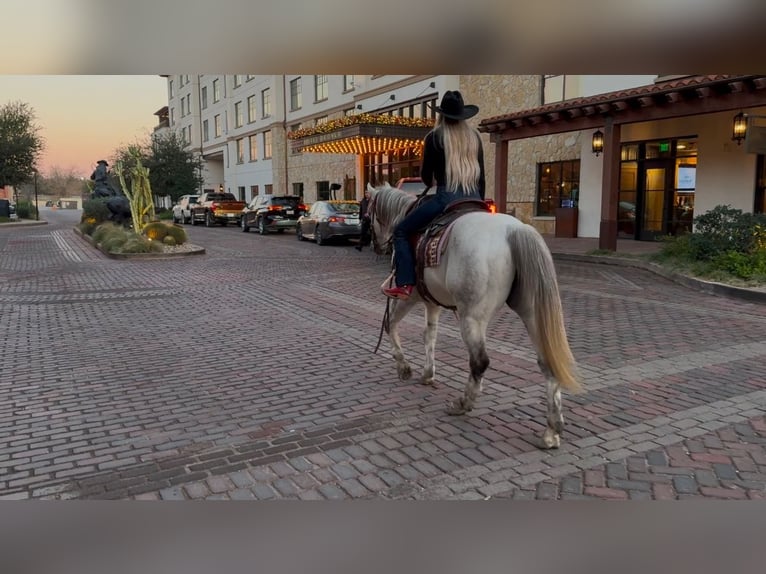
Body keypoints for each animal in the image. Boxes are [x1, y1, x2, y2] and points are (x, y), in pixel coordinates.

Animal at [368, 183, 584, 450]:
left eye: (368, 213)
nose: (376, 246)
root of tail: (515, 230)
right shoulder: (432, 302)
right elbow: (430, 336)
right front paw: (428, 373)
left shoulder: (410, 295)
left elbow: (391, 324)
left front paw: (404, 367)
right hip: (533, 313)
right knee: (546, 363)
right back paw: (551, 431)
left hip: (472, 317)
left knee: (479, 361)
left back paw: (463, 403)